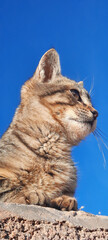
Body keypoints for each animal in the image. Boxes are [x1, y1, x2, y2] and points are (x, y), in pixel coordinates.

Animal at [0, 48, 98, 210]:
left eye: (91, 102)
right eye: (75, 93)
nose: (96, 113)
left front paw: (62, 199)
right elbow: (9, 187)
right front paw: (31, 194)